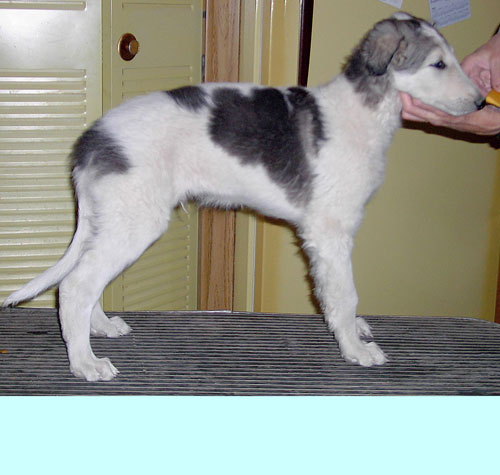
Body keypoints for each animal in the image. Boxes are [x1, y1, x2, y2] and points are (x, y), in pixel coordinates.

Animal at [2, 13, 484, 381]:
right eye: (438, 64)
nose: (482, 102)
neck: (363, 110)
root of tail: (91, 141)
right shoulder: (331, 230)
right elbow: (344, 294)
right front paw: (355, 350)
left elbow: (337, 297)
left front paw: (355, 332)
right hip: (136, 220)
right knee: (76, 285)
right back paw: (85, 363)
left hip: (114, 218)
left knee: (86, 280)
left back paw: (99, 328)